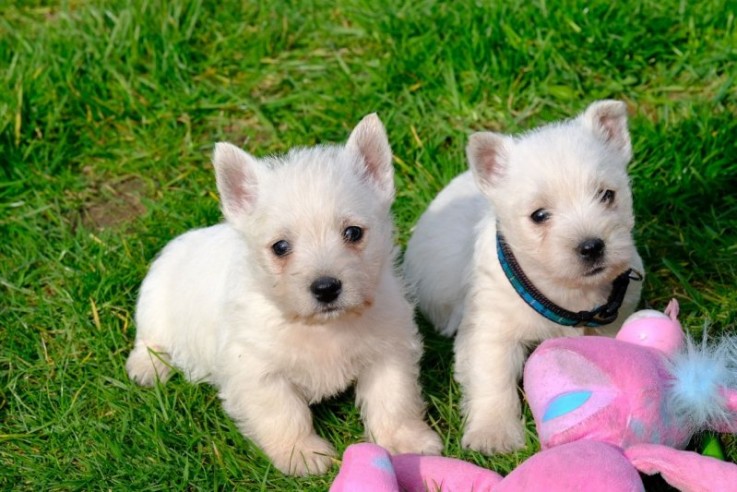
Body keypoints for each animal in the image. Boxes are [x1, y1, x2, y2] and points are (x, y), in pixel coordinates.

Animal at [125, 113, 442, 474]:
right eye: (280, 247)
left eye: (353, 232)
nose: (326, 288)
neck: (322, 328)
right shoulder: (257, 372)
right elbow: (285, 415)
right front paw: (302, 454)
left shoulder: (388, 352)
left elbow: (393, 399)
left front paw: (406, 442)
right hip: (154, 305)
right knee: (149, 339)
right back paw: (148, 368)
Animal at [406, 100, 640, 454]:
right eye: (539, 215)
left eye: (606, 195)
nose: (592, 247)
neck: (564, 291)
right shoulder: (491, 330)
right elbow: (493, 379)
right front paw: (494, 435)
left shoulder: (613, 320)